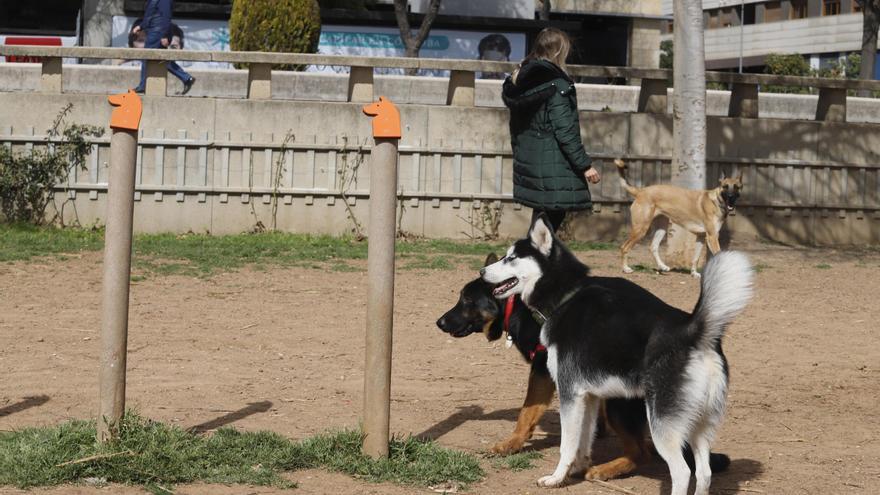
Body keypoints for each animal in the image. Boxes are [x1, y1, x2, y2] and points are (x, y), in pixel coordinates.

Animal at [478, 215, 752, 495]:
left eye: (511, 258)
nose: (482, 272)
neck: (566, 297)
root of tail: (693, 330)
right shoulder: (588, 397)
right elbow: (583, 441)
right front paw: (578, 469)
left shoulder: (569, 393)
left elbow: (567, 445)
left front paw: (556, 478)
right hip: (699, 424)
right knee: (705, 472)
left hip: (661, 425)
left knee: (683, 471)